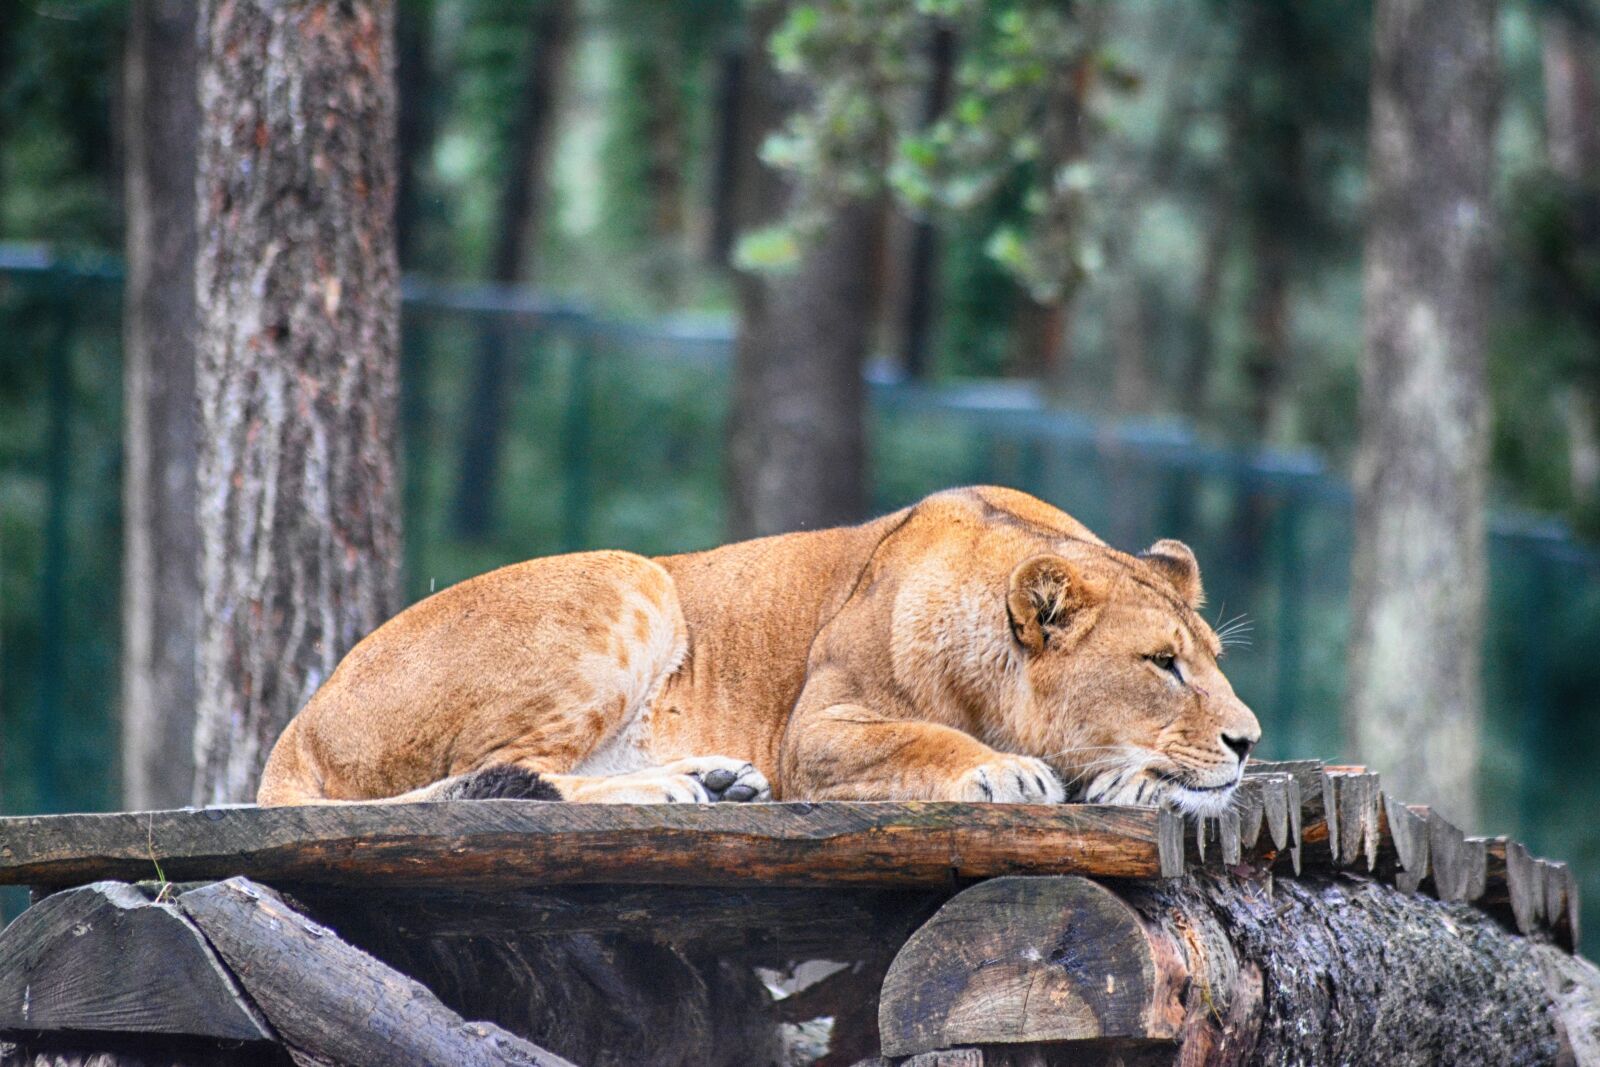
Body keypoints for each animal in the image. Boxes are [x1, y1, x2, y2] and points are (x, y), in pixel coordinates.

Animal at [257, 486, 1260, 815]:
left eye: (1212, 656)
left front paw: (1137, 780)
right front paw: (1004, 768)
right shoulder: (813, 732)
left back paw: (713, 776)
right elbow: (924, 738)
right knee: (507, 772)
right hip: (631, 577)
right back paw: (671, 790)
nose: (1248, 742)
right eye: (1162, 663)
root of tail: (299, 721)